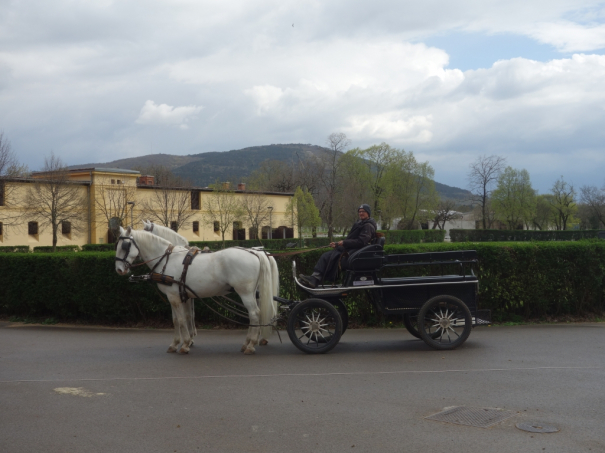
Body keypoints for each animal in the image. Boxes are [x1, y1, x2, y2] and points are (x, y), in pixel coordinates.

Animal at [114, 226, 274, 354]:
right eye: (118, 245)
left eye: (125, 246)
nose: (119, 269)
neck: (167, 259)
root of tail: (255, 252)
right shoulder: (178, 296)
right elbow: (177, 320)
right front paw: (175, 344)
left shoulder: (174, 297)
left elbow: (181, 319)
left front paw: (185, 344)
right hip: (253, 293)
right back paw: (247, 343)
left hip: (245, 292)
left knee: (254, 314)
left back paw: (251, 344)